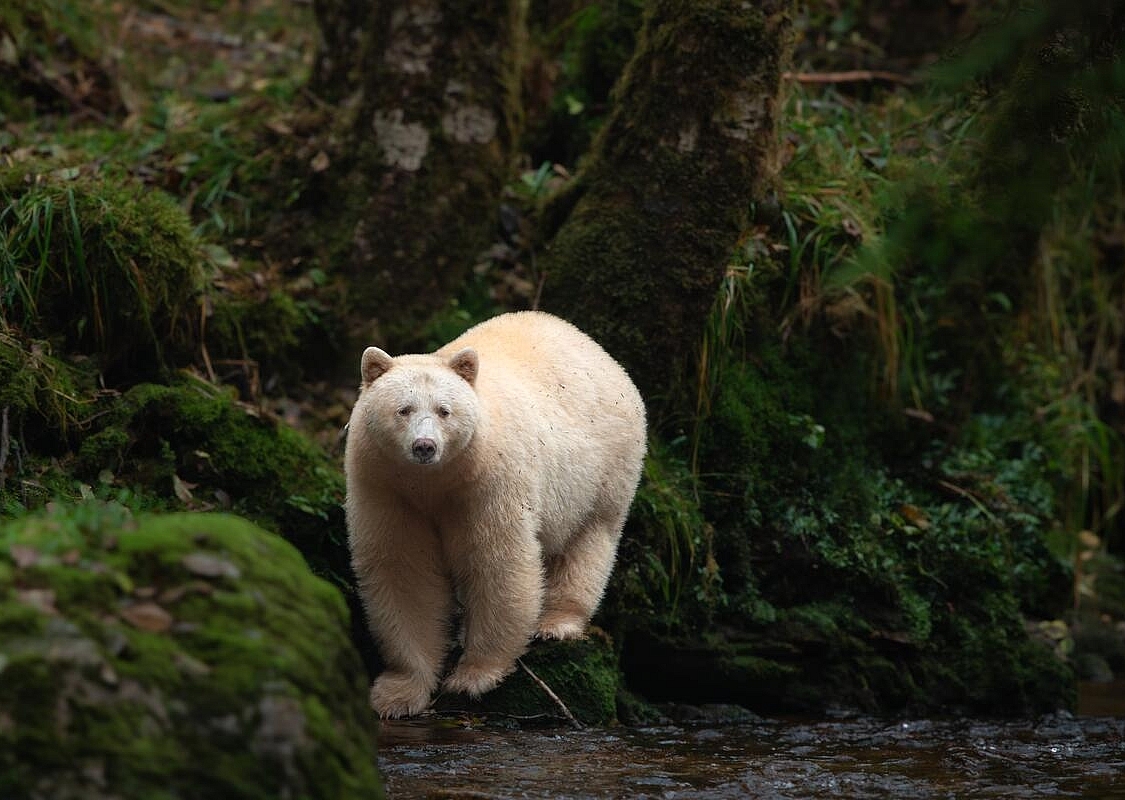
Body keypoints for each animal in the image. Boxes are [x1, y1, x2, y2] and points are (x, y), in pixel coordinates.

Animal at [344, 311, 646, 718]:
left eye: (444, 410)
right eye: (403, 409)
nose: (425, 446)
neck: (433, 482)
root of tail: (595, 348)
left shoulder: (488, 481)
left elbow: (497, 561)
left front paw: (473, 675)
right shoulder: (385, 486)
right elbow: (404, 569)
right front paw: (398, 692)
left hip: (605, 465)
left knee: (590, 538)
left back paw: (557, 621)